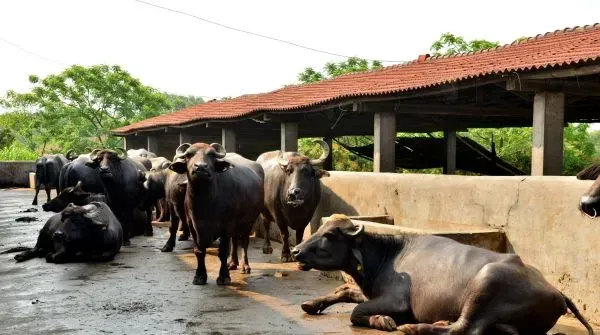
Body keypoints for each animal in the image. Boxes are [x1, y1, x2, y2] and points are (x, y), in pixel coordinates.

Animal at [168, 143, 264, 288]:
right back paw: (232, 263)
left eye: (212, 155)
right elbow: (199, 251)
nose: (201, 167)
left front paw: (224, 277)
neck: (204, 203)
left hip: (249, 221)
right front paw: (199, 276)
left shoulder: (226, 226)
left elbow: (223, 251)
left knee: (244, 242)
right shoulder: (192, 226)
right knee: (235, 241)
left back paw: (245, 266)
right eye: (188, 155)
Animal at [292, 215, 592, 335]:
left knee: (465, 329)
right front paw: (311, 304)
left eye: (330, 235)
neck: (386, 256)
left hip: (485, 284)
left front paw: (384, 320)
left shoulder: (397, 300)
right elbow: (345, 291)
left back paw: (415, 328)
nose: (295, 251)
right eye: (320, 229)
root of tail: (557, 292)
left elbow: (357, 312)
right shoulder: (370, 291)